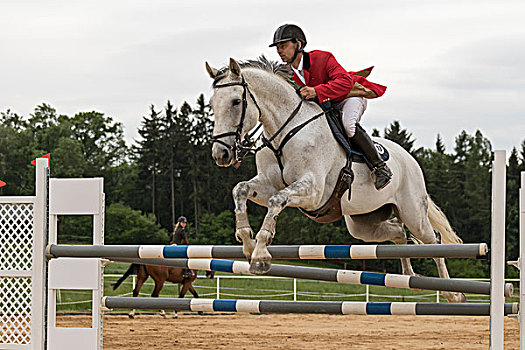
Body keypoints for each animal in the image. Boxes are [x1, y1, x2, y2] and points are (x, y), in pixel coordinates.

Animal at [205, 56, 462, 302]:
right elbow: (240, 190)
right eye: (212, 104)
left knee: (433, 240)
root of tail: (410, 158)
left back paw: (452, 293)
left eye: (236, 102)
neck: (285, 130)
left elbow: (276, 201)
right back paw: (409, 277)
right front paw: (248, 244)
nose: (221, 155)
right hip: (363, 223)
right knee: (398, 233)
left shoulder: (314, 192)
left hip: (413, 213)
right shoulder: (268, 183)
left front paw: (260, 255)